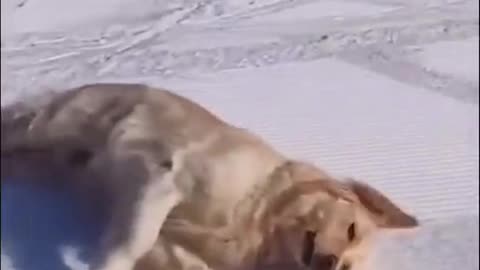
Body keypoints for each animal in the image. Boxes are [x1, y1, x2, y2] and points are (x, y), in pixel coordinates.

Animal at [0, 83, 416, 270]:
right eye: (352, 230)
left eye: (349, 268)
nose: (331, 264)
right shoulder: (165, 176)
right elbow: (131, 243)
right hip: (49, 128)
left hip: (39, 163)